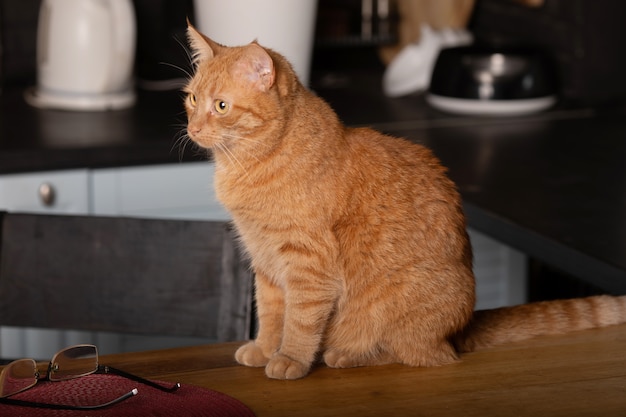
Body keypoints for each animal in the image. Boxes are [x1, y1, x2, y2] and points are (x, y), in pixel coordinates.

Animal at [183, 24, 624, 378]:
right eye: (191, 100)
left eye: (221, 106)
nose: (193, 128)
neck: (253, 162)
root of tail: (462, 328)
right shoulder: (266, 264)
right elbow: (272, 315)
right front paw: (263, 349)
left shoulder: (308, 265)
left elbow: (300, 322)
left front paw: (289, 359)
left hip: (398, 311)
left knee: (421, 354)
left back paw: (346, 354)